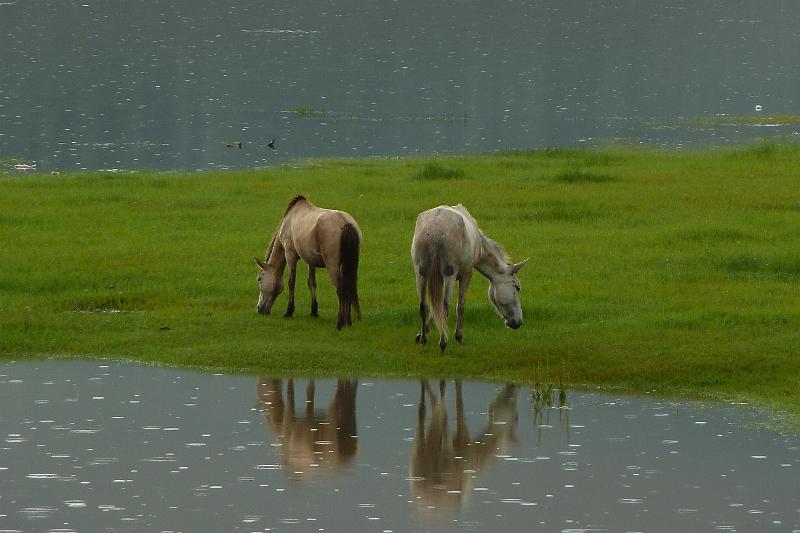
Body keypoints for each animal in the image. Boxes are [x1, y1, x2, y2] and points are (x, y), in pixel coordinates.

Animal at [255, 195, 360, 328]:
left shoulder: (290, 254)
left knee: (341, 289)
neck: (289, 221)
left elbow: (291, 282)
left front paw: (289, 312)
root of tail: (345, 222)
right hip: (349, 266)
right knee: (350, 287)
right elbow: (312, 282)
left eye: (259, 279)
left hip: (332, 265)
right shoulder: (310, 260)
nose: (259, 309)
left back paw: (340, 323)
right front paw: (314, 312)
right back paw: (348, 321)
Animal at [410, 206, 528, 352]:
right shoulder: (466, 274)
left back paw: (423, 339)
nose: (518, 322)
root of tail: (434, 230)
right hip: (449, 275)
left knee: (423, 306)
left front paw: (421, 333)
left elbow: (433, 309)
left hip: (421, 273)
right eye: (517, 287)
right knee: (445, 306)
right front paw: (458, 337)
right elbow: (460, 306)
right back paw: (443, 342)